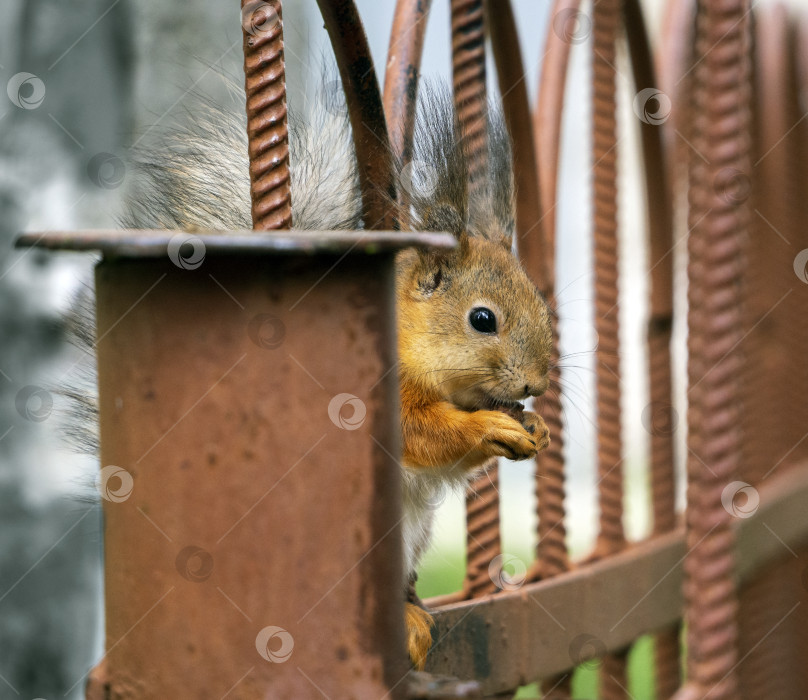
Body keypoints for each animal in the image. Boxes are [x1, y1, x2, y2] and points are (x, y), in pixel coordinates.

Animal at [64, 80, 556, 672]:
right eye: (482, 320)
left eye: (539, 301)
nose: (537, 384)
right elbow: (418, 432)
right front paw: (490, 427)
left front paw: (535, 427)